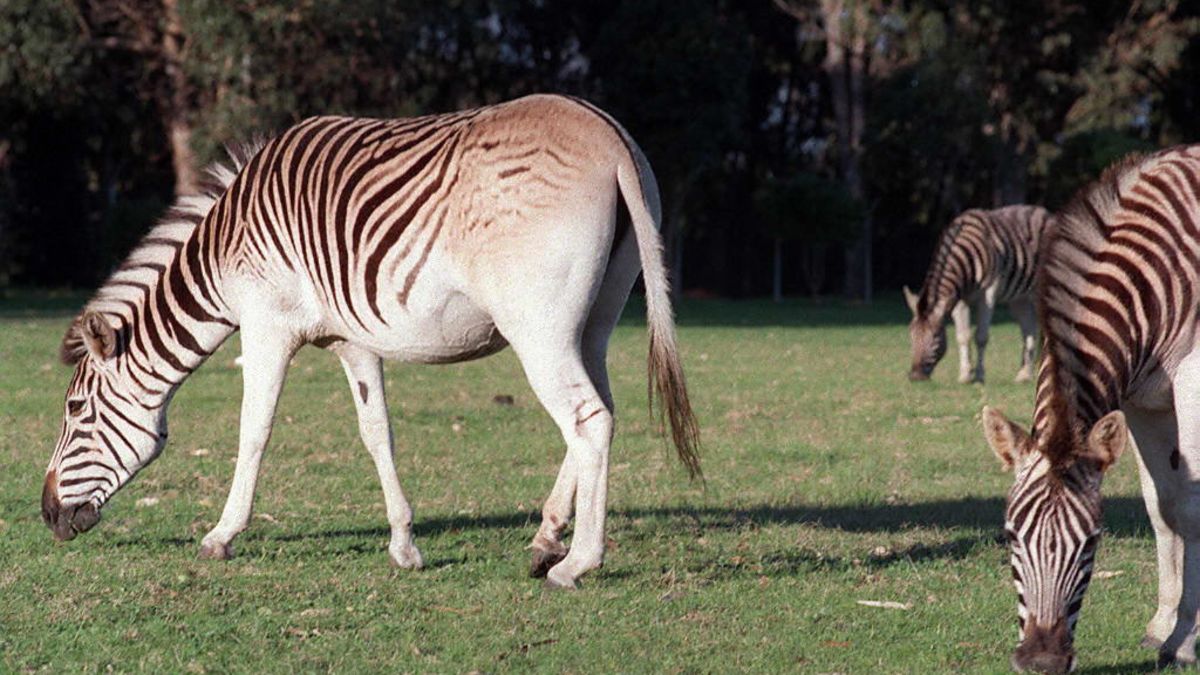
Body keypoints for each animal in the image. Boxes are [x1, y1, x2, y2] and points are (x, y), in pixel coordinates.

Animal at [39, 94, 700, 588]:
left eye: (75, 410)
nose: (46, 516)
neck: (225, 252)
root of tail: (608, 136)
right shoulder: (350, 338)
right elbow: (376, 431)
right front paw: (404, 545)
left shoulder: (267, 324)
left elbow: (254, 431)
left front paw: (221, 536)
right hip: (594, 321)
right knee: (598, 414)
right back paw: (544, 543)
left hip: (537, 326)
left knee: (587, 420)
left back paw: (577, 563)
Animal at [902, 205, 1056, 381]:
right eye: (911, 335)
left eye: (935, 337)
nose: (915, 376)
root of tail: (1044, 212)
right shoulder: (958, 298)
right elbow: (962, 336)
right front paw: (965, 375)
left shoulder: (988, 294)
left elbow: (981, 337)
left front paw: (980, 375)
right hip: (1019, 299)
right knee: (1029, 330)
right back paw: (1024, 374)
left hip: (1039, 291)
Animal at [979, 142, 1200, 667]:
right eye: (1010, 536)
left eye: (1092, 543)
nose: (1041, 661)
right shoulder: (1143, 402)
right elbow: (1162, 506)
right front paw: (1162, 626)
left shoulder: (1192, 377)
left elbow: (1191, 508)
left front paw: (1185, 639)